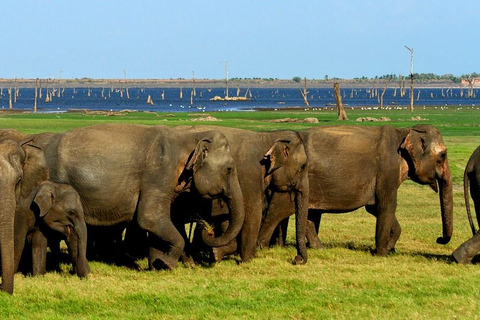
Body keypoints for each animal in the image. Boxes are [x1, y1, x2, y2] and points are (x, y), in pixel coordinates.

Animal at [10, 124, 244, 270]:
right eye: (229, 169)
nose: (208, 229)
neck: (189, 138)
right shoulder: (159, 174)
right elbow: (149, 218)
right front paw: (166, 264)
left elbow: (158, 221)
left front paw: (164, 263)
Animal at [171, 126, 310, 264]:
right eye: (303, 166)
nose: (297, 259)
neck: (267, 137)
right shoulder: (249, 175)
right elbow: (252, 213)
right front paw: (248, 260)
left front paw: (216, 253)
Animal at [256, 124, 452, 256]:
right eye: (443, 155)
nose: (439, 239)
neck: (404, 132)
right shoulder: (387, 169)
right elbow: (386, 206)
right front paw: (381, 253)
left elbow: (374, 208)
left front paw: (390, 248)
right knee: (280, 210)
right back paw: (262, 245)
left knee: (309, 215)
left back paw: (319, 248)